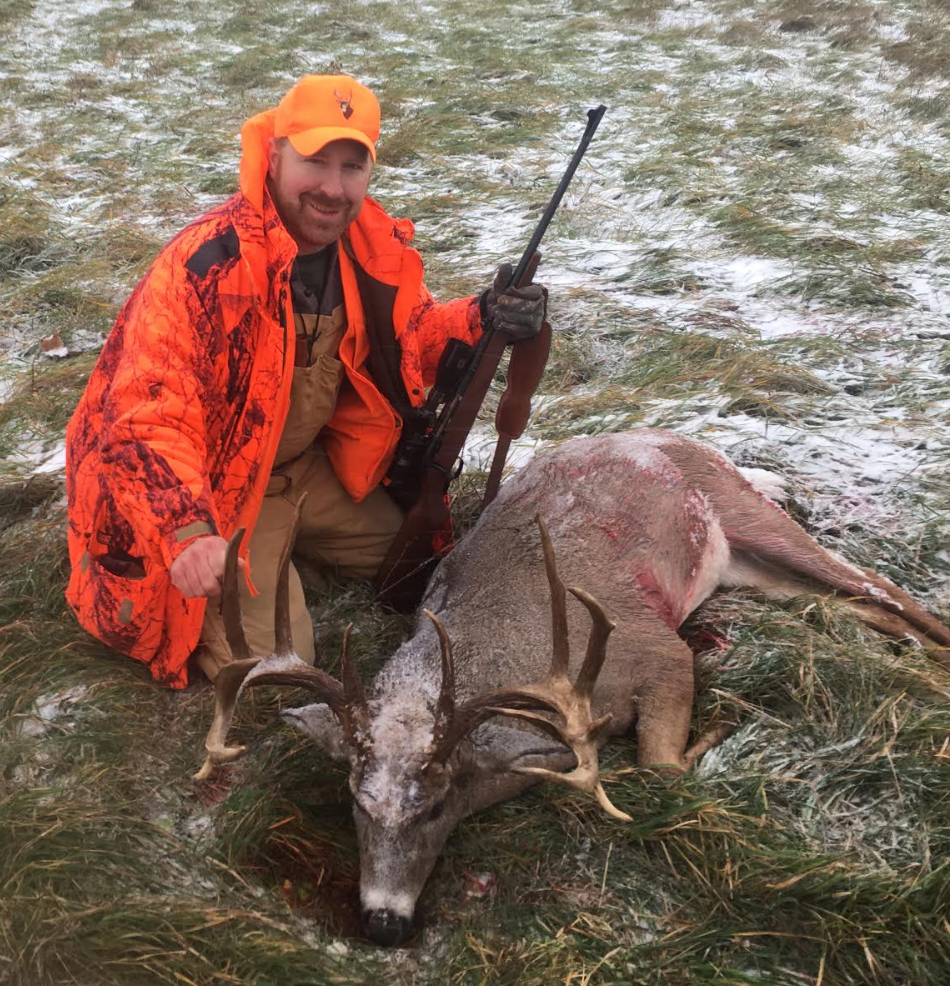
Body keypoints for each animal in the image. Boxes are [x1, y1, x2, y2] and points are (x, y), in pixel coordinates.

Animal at [195, 428, 950, 944]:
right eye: (356, 801)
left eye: (437, 806)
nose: (384, 922)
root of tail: (673, 435)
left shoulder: (659, 646)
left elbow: (661, 767)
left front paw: (717, 733)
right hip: (747, 565)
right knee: (858, 602)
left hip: (744, 511)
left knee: (876, 583)